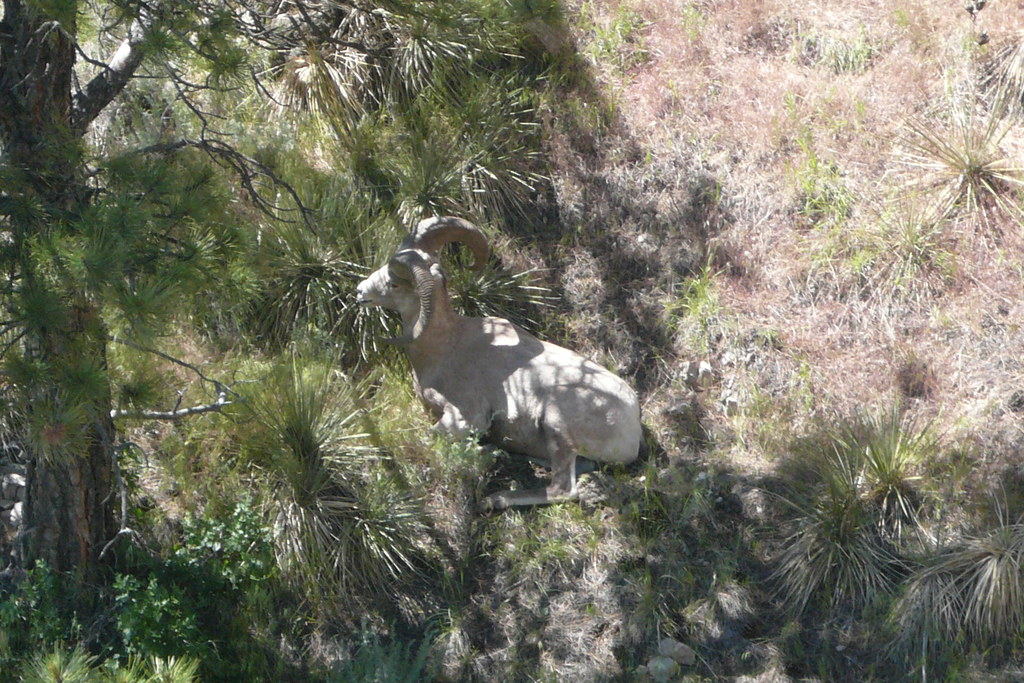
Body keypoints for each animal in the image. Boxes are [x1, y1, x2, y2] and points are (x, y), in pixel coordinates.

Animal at [355, 216, 642, 512]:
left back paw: (495, 498)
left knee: (562, 489)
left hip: (557, 423)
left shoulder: (466, 419)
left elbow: (430, 435)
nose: (360, 291)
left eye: (394, 283)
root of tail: (634, 428)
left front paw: (488, 451)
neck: (445, 349)